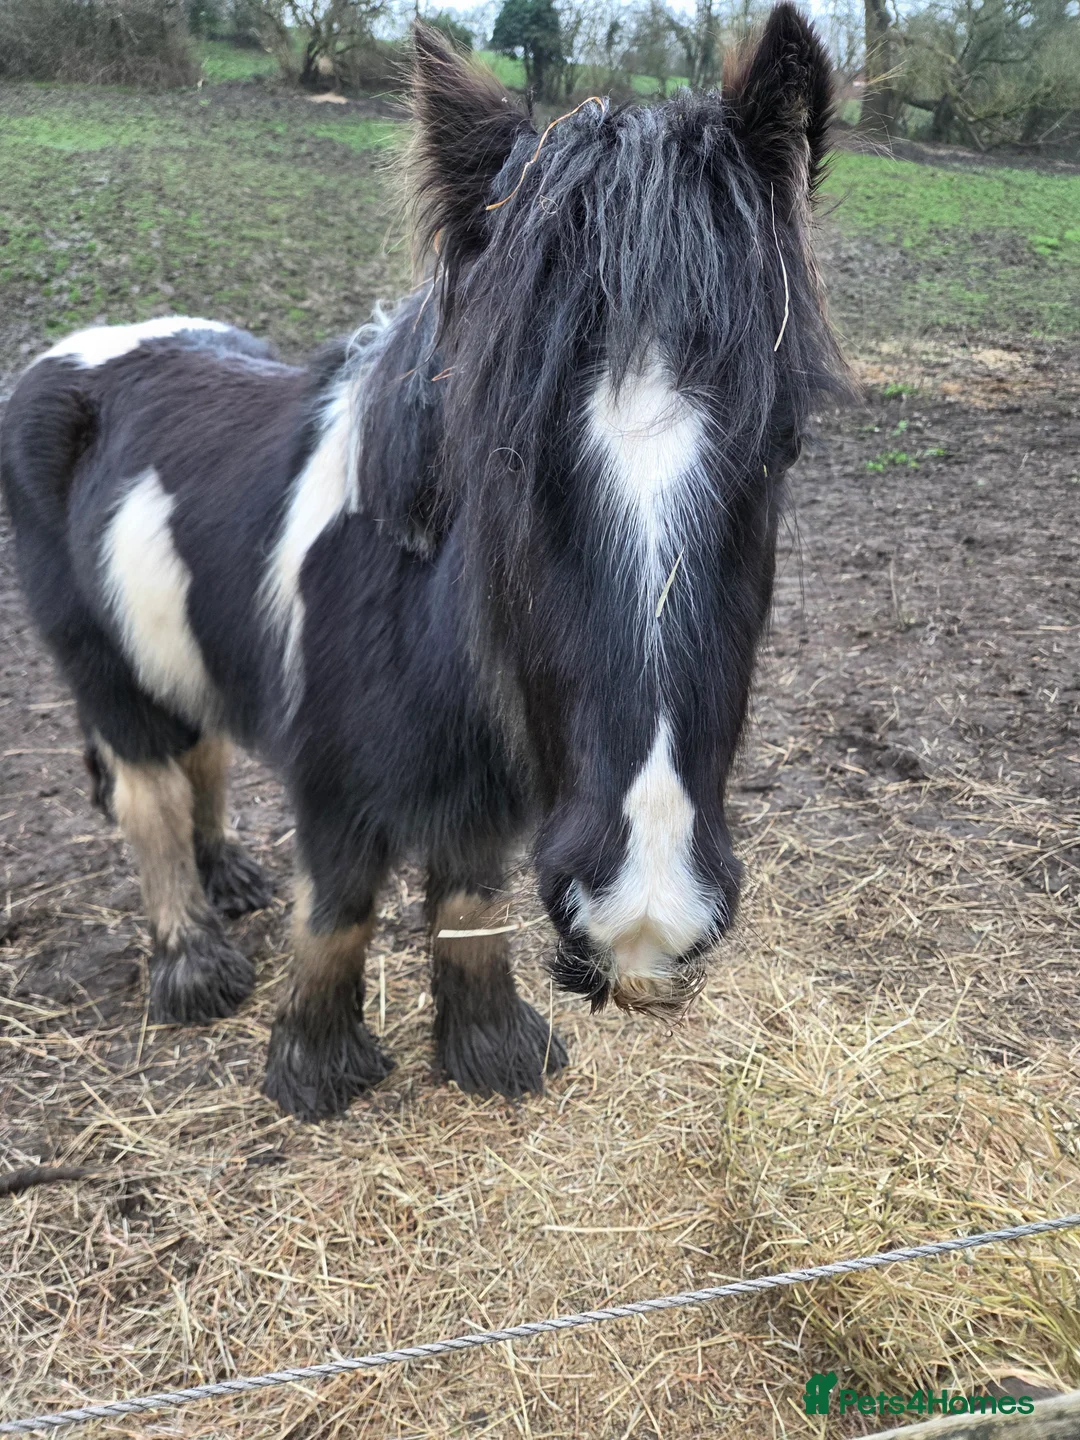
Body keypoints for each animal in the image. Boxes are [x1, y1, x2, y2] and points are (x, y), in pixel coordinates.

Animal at [1, 7, 846, 1120]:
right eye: (502, 451)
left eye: (779, 447)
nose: (647, 913)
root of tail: (85, 346)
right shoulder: (331, 784)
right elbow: (342, 908)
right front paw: (316, 1067)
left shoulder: (489, 792)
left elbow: (470, 896)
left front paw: (492, 1051)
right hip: (94, 657)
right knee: (149, 788)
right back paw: (193, 961)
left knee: (204, 746)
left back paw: (228, 878)